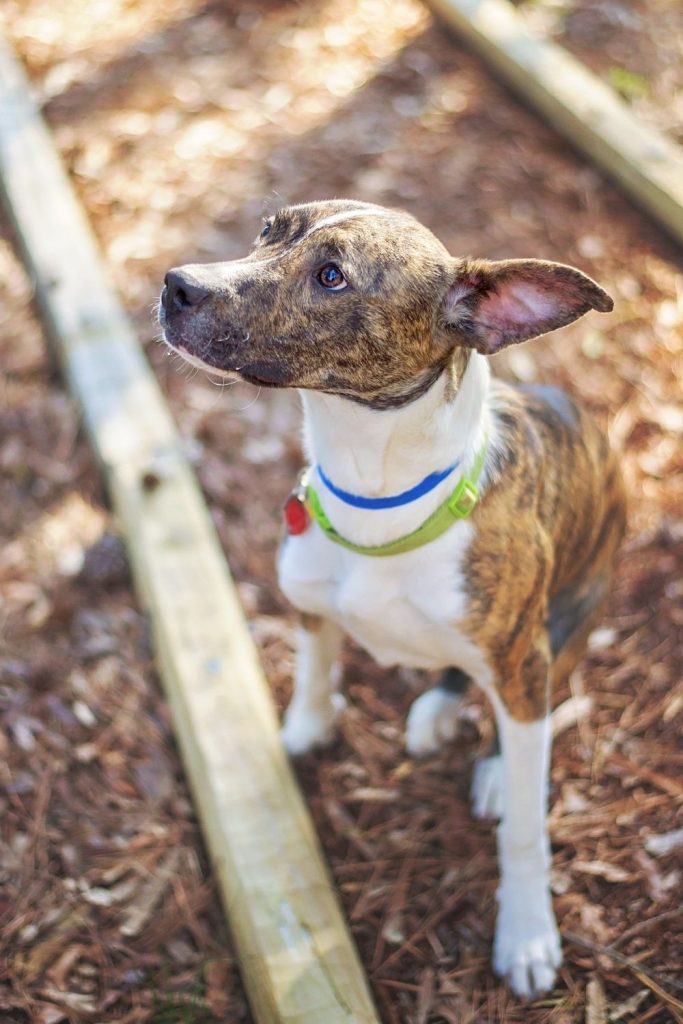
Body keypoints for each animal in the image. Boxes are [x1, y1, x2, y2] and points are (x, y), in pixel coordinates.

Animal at [157, 195, 626, 995]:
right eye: (269, 229)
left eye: (332, 275)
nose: (175, 284)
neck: (375, 494)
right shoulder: (309, 602)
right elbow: (315, 669)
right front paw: (303, 731)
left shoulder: (519, 654)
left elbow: (526, 833)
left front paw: (527, 932)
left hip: (562, 625)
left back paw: (492, 767)